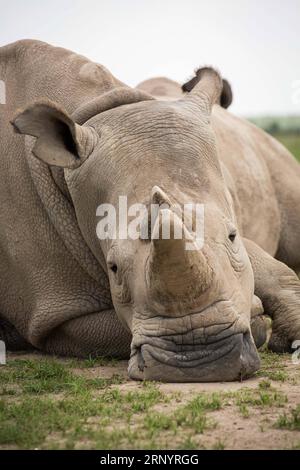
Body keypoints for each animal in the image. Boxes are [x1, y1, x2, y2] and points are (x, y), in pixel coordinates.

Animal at [0, 40, 300, 382]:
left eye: (232, 235)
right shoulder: (52, 313)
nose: (201, 358)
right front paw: (256, 314)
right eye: (113, 267)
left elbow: (258, 262)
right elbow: (113, 329)